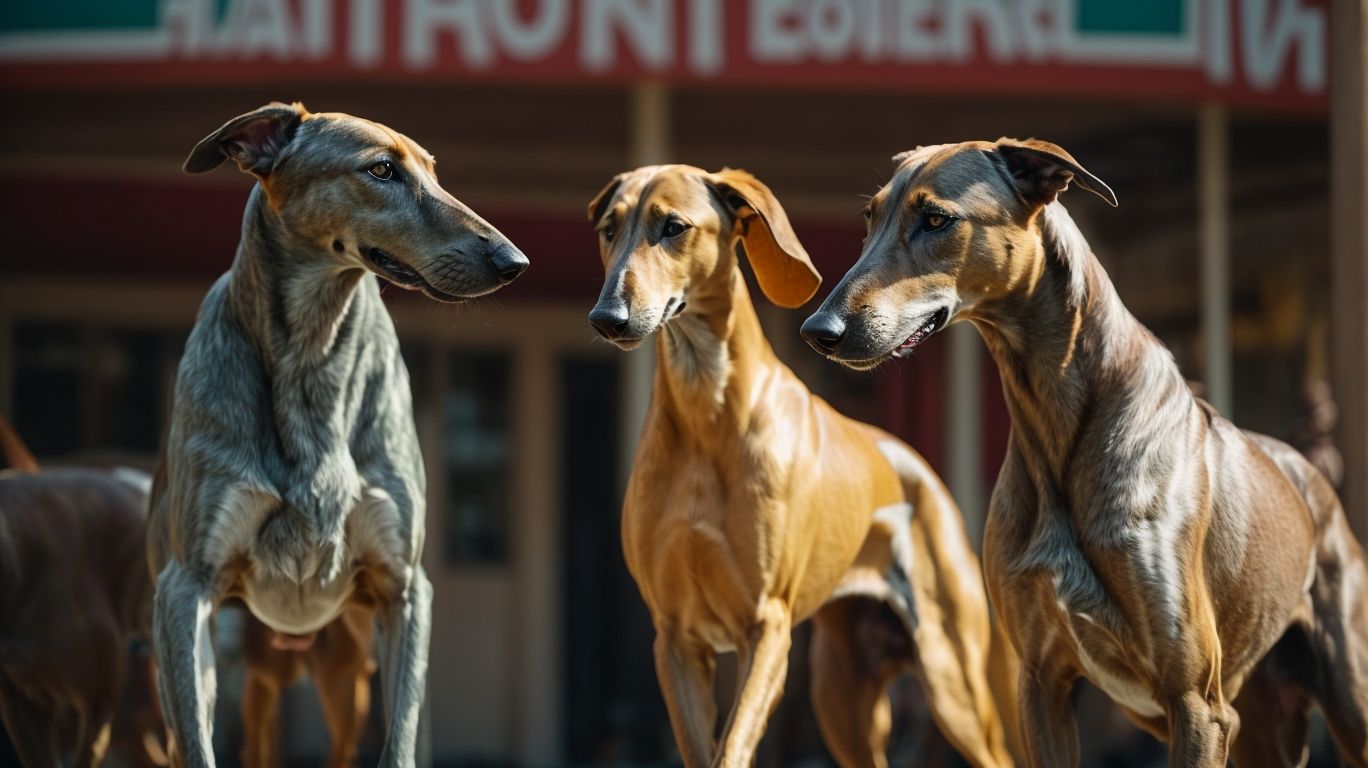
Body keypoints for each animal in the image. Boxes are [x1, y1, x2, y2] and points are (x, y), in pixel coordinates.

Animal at [152, 103, 525, 766]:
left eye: (433, 171)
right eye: (380, 170)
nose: (514, 262)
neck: (313, 350)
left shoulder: (405, 591)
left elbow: (399, 743)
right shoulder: (185, 591)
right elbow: (196, 744)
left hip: (349, 673)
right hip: (235, 670)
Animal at [588, 164, 1017, 761]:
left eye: (673, 226)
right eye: (610, 229)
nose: (607, 317)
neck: (705, 412)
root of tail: (920, 469)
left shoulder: (765, 626)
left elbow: (732, 748)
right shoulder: (675, 638)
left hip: (952, 679)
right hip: (840, 698)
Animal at [798, 138, 1368, 766]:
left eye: (937, 219)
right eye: (869, 217)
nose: (817, 330)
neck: (1056, 427)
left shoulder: (1196, 703)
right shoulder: (1041, 684)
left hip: (1347, 698)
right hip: (1262, 725)